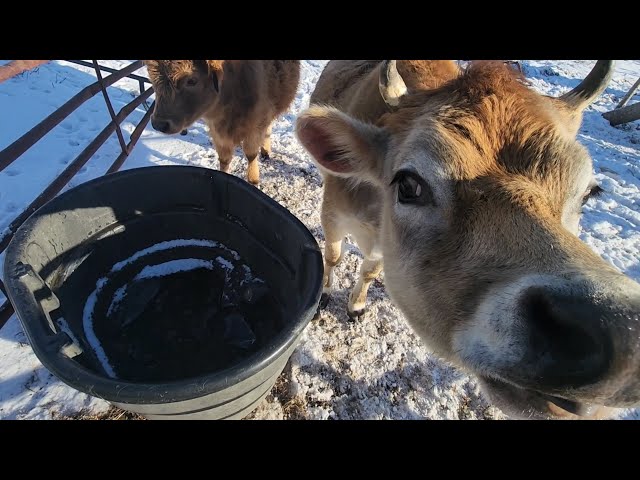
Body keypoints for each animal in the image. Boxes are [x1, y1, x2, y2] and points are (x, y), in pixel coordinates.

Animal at [145, 61, 300, 185]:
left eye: (192, 80)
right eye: (152, 77)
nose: (158, 124)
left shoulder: (256, 124)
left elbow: (251, 155)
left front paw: (254, 181)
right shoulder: (217, 132)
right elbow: (224, 159)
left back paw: (266, 151)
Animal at [298, 61, 640, 420]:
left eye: (589, 192)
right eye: (409, 185)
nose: (623, 331)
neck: (374, 216)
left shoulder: (382, 247)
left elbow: (368, 271)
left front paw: (357, 305)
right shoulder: (332, 213)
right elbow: (333, 255)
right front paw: (325, 292)